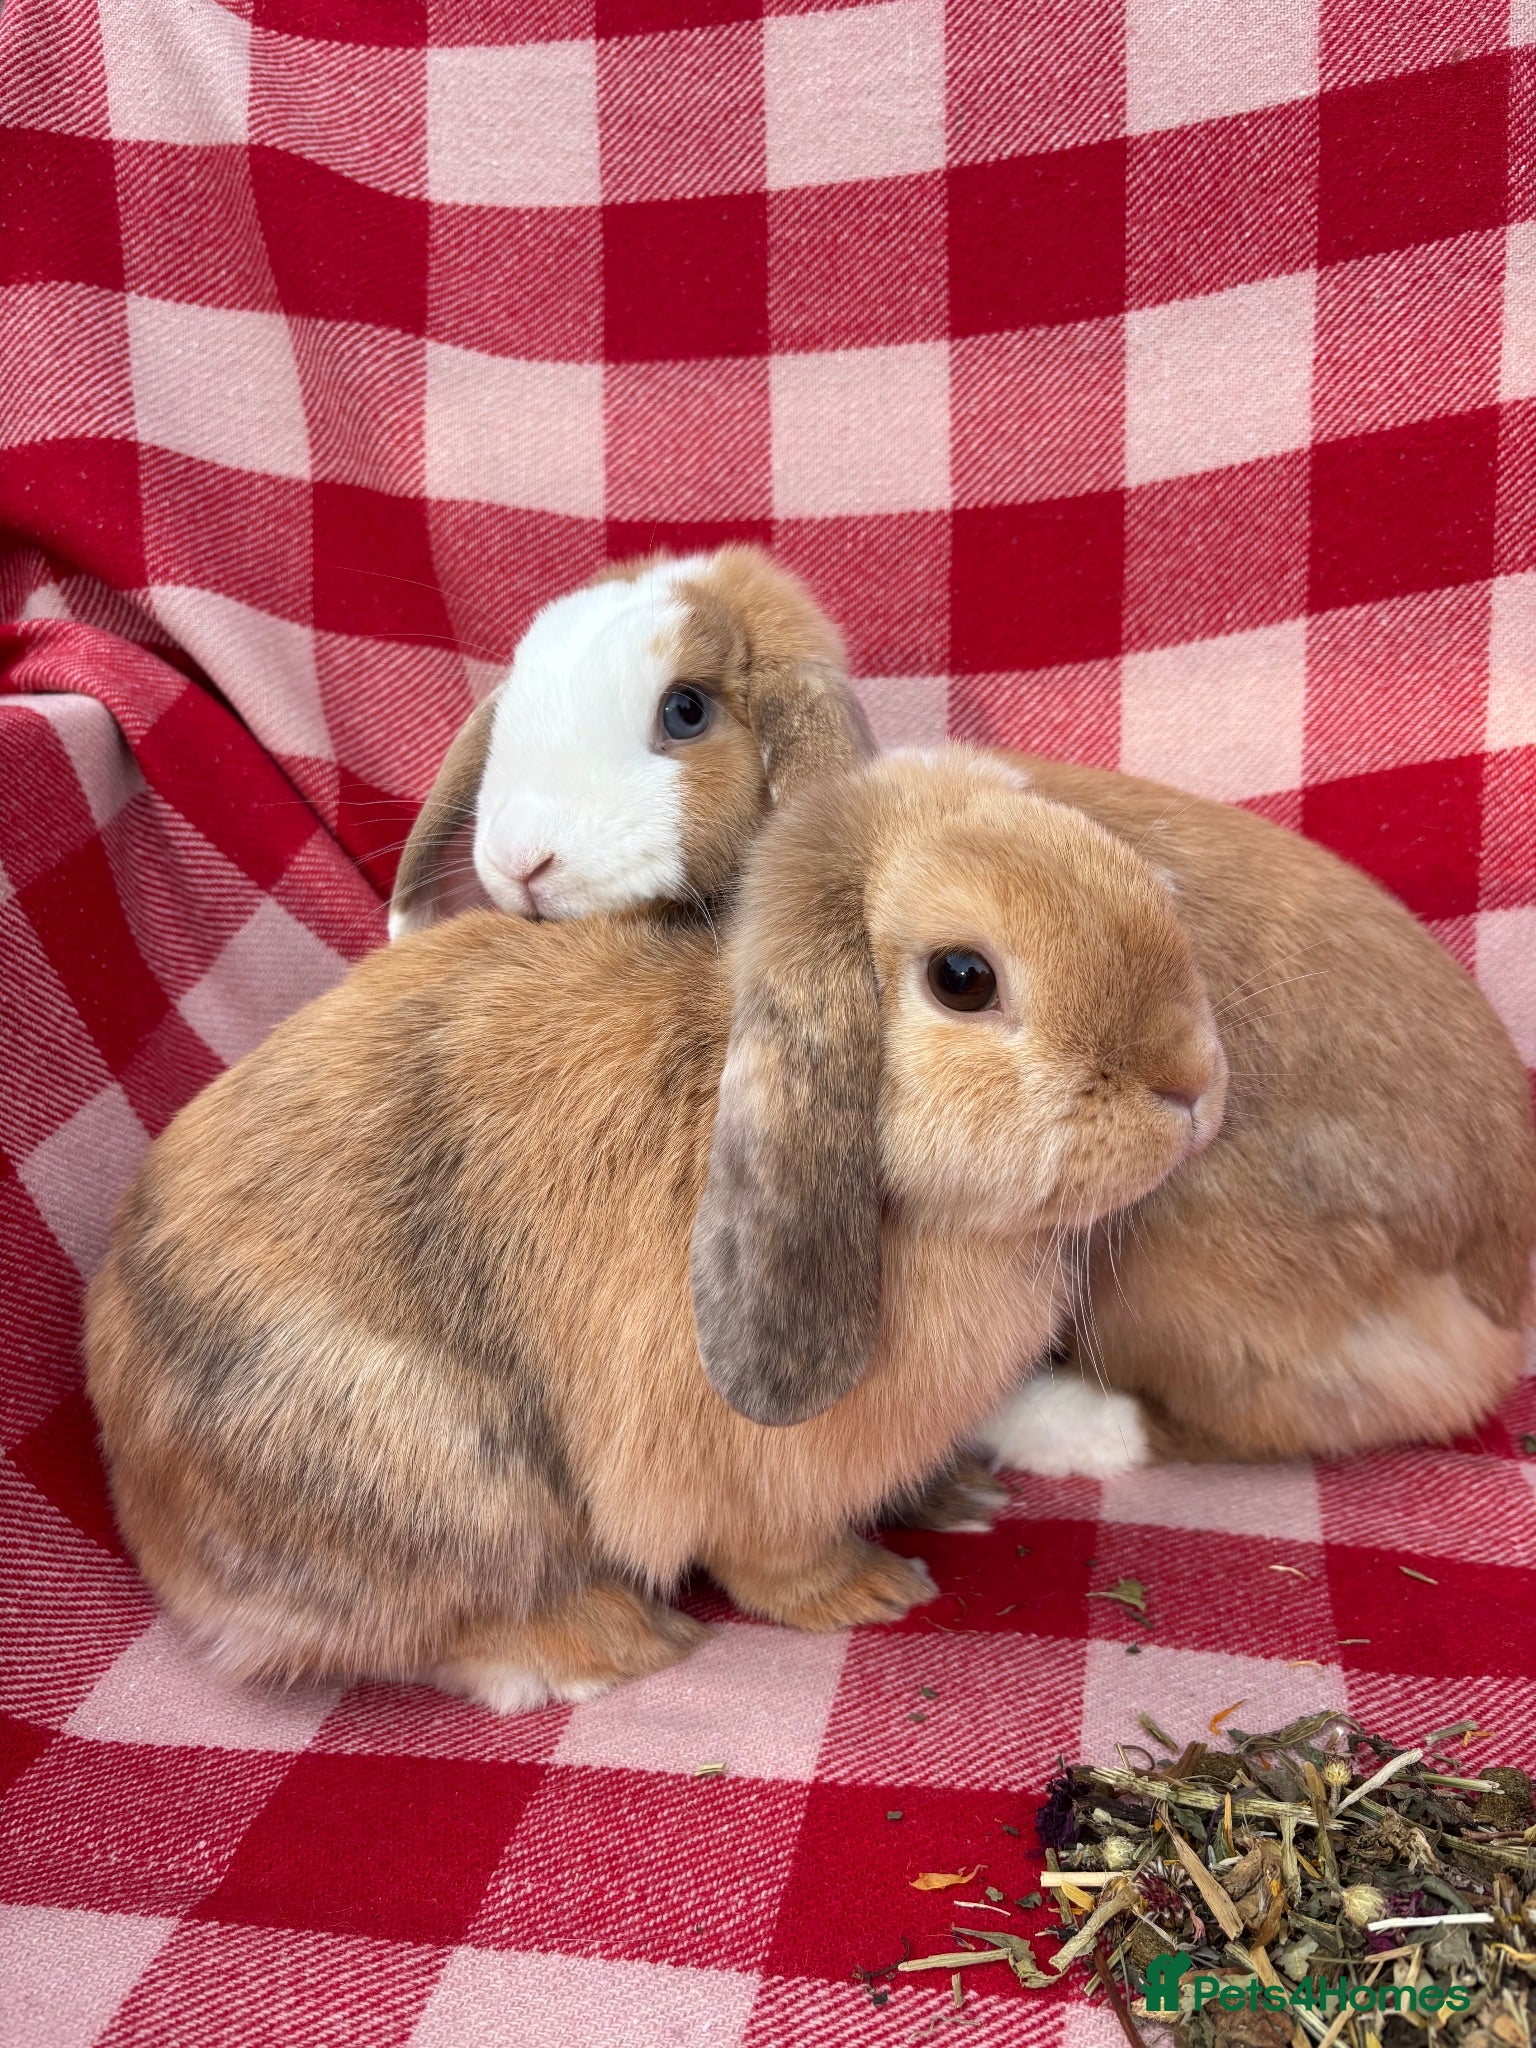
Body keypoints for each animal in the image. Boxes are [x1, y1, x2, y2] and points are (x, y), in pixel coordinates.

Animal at [85, 749, 1222, 1711]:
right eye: (963, 978)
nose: (1194, 1083)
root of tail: (145, 1507)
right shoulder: (748, 1471)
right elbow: (772, 1555)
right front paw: (873, 1590)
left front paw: (959, 1496)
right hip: (442, 1476)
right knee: (434, 1626)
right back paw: (613, 1641)